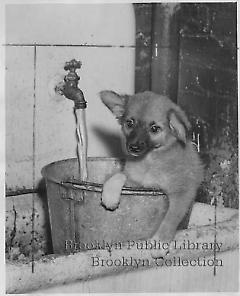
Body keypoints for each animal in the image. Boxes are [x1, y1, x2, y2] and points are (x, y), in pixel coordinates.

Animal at [99, 91, 202, 250]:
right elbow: (119, 175)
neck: (150, 161)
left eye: (154, 128)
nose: (133, 148)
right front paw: (109, 196)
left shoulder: (184, 192)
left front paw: (160, 242)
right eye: (130, 123)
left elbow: (171, 218)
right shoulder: (137, 184)